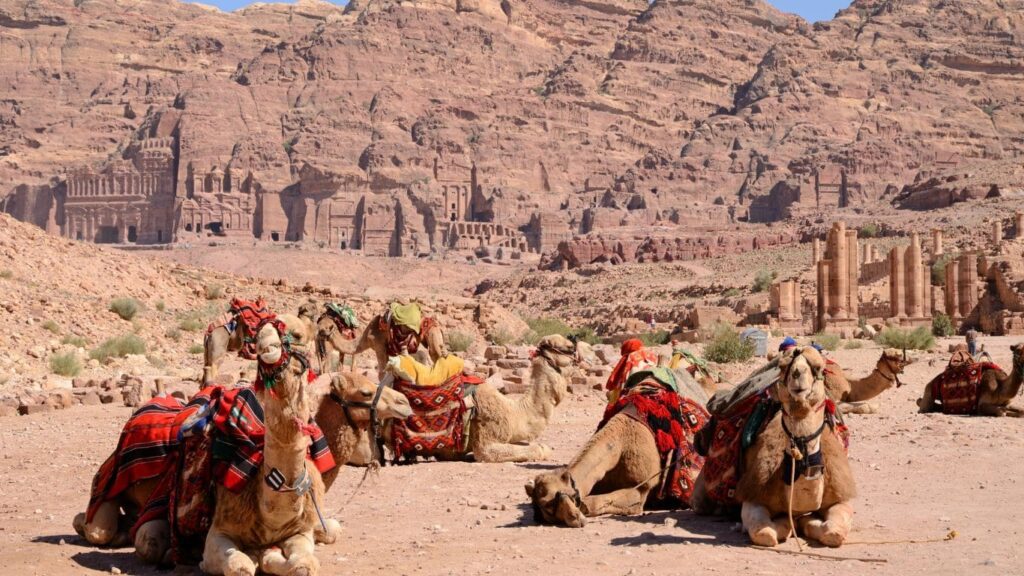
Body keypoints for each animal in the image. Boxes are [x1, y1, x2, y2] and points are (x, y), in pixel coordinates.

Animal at [524, 364, 708, 528]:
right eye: (545, 506)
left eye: (551, 502)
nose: (575, 520)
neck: (619, 445)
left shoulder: (641, 490)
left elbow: (590, 503)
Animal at [737, 344, 856, 545]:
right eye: (783, 367)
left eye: (819, 367)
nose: (797, 373)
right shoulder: (753, 495)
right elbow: (764, 533)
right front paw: (786, 524)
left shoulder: (841, 496)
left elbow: (833, 533)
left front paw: (809, 521)